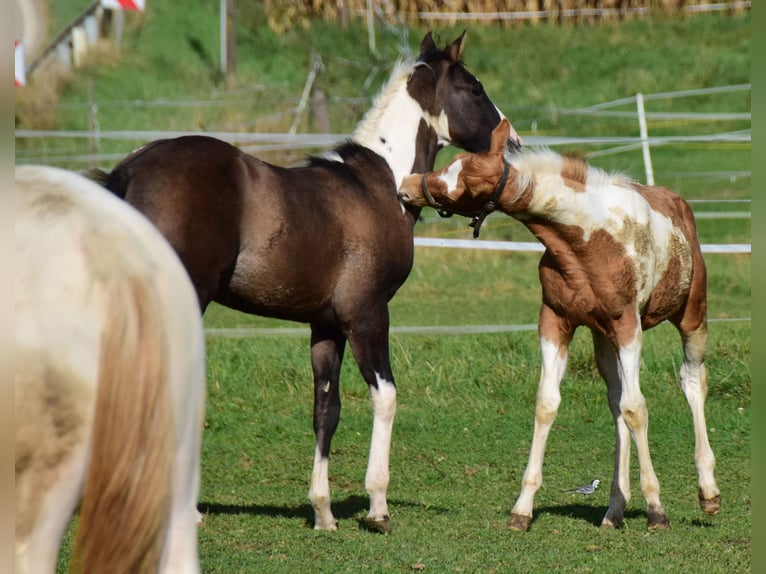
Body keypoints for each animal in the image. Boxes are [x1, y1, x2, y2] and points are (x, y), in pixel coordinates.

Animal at [87, 32, 524, 536]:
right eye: (474, 89)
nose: (515, 143)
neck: (380, 185)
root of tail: (128, 171)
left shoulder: (326, 327)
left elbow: (325, 411)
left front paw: (323, 512)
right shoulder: (367, 315)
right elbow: (386, 397)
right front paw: (378, 507)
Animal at [400, 119, 724, 532]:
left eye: (471, 177)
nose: (407, 185)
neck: (586, 239)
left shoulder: (628, 324)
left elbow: (638, 408)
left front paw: (657, 510)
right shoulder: (555, 320)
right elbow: (548, 404)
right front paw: (521, 510)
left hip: (691, 314)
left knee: (691, 380)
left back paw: (708, 493)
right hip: (603, 337)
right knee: (616, 401)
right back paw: (614, 510)